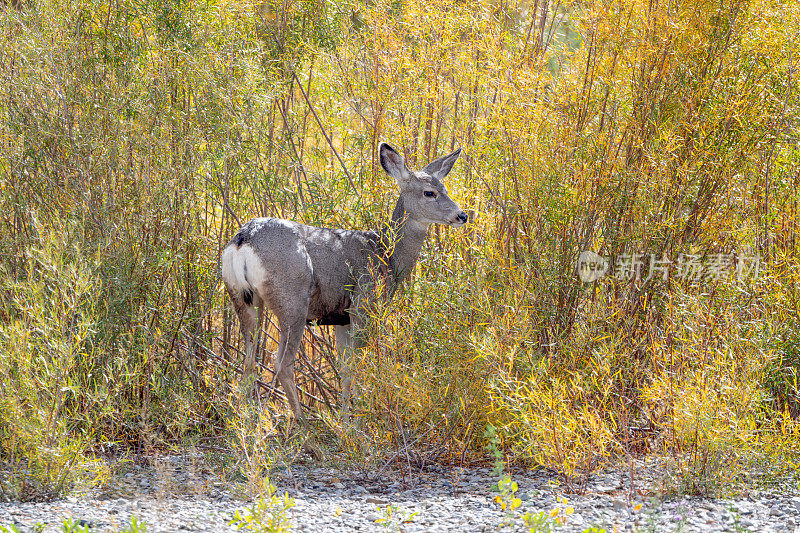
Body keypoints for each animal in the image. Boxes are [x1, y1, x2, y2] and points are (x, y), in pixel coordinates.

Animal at [219, 142, 468, 458]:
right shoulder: (363, 305)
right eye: (429, 192)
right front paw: (355, 427)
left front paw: (346, 421)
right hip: (292, 299)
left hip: (242, 299)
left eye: (444, 186)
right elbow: (355, 366)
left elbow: (345, 366)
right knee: (283, 364)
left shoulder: (340, 318)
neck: (387, 258)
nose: (462, 215)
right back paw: (308, 439)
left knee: (249, 362)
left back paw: (248, 429)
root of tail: (243, 239)